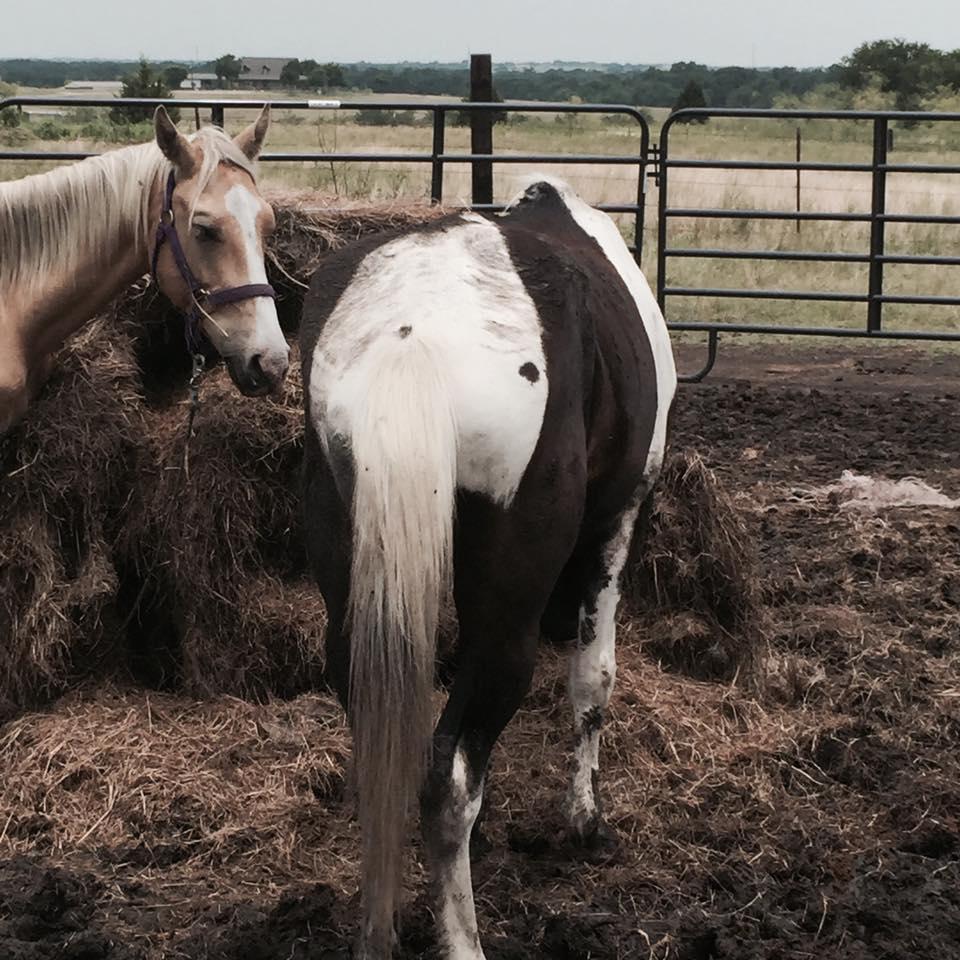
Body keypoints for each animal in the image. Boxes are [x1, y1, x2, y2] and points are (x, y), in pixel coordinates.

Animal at [300, 176, 676, 956]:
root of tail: (411, 335)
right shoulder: (619, 520)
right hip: (509, 617)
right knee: (447, 778)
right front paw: (584, 821)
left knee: (394, 764)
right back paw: (463, 938)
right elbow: (594, 679)